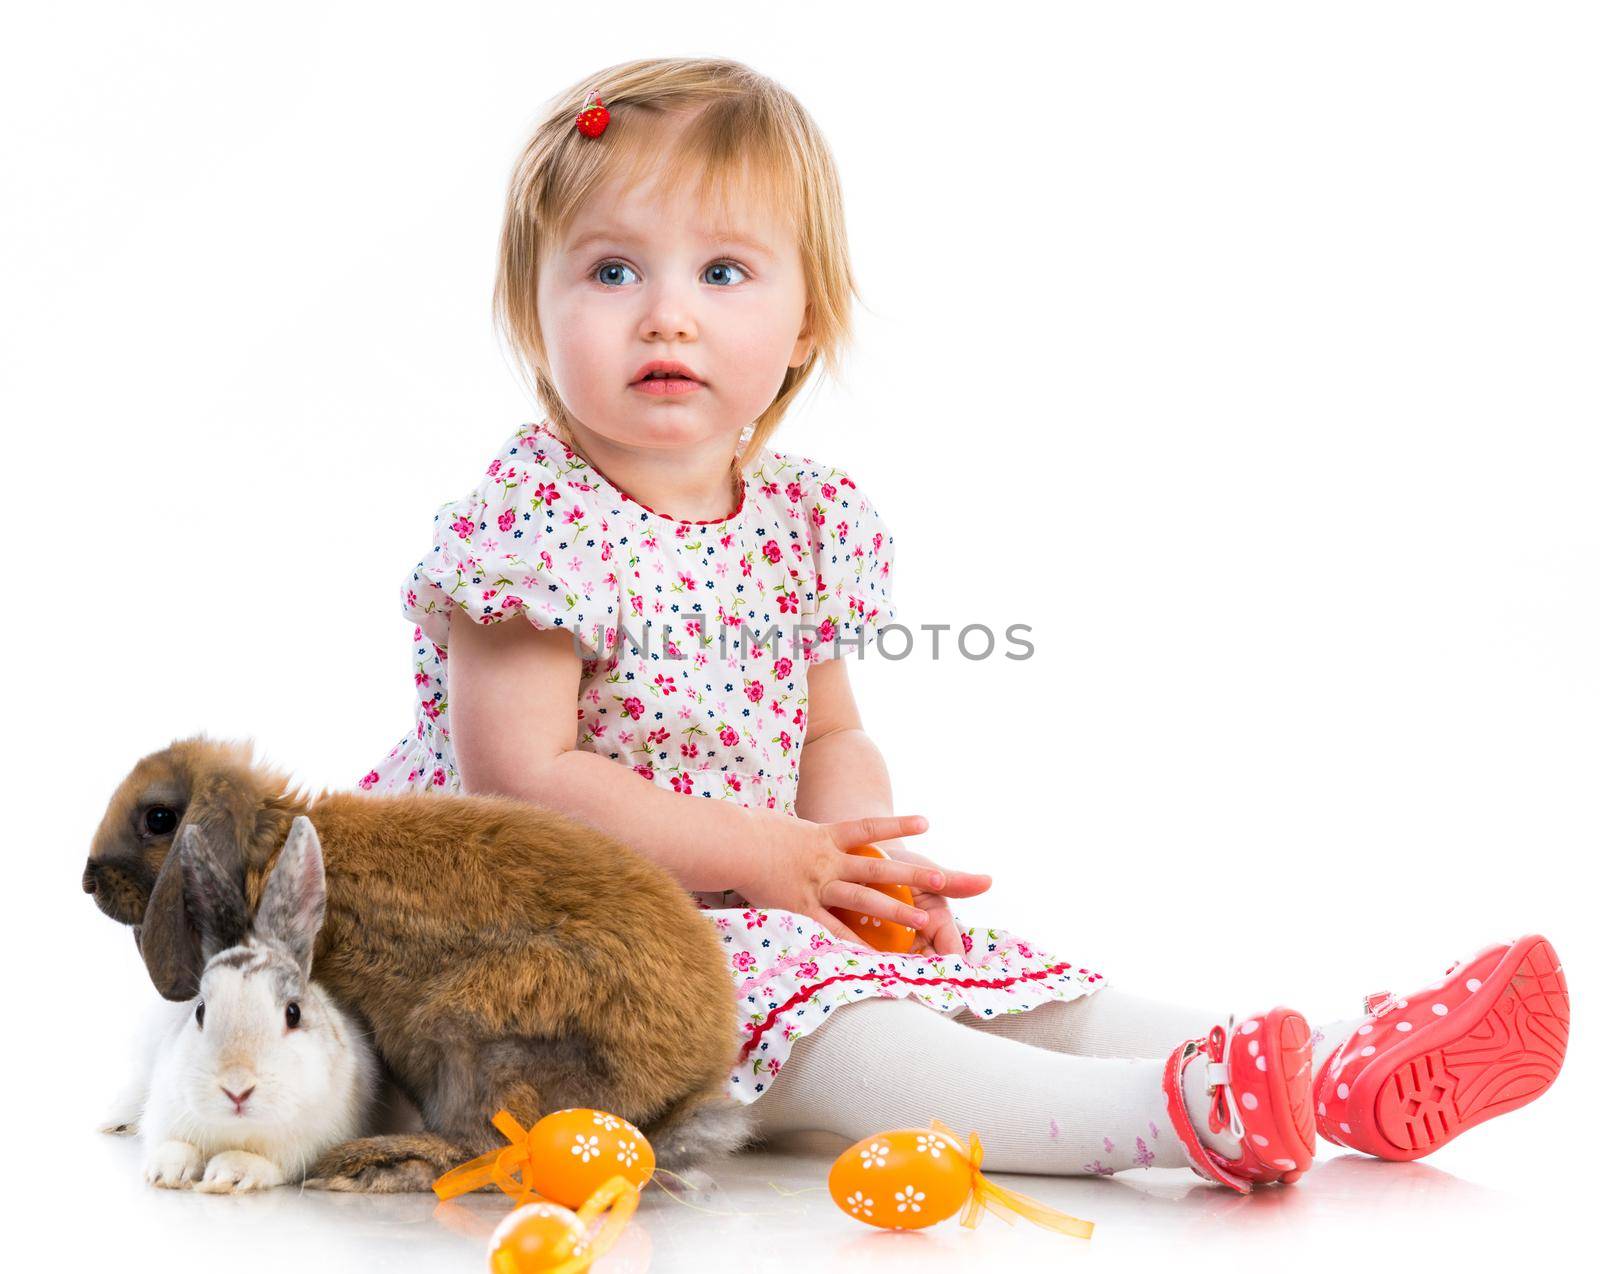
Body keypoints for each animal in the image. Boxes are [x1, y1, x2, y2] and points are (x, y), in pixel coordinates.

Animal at [138, 816, 374, 1197]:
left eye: (293, 1013)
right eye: (200, 1011)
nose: (237, 1089)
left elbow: (265, 1163)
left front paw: (227, 1174)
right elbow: (174, 1145)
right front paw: (166, 1172)